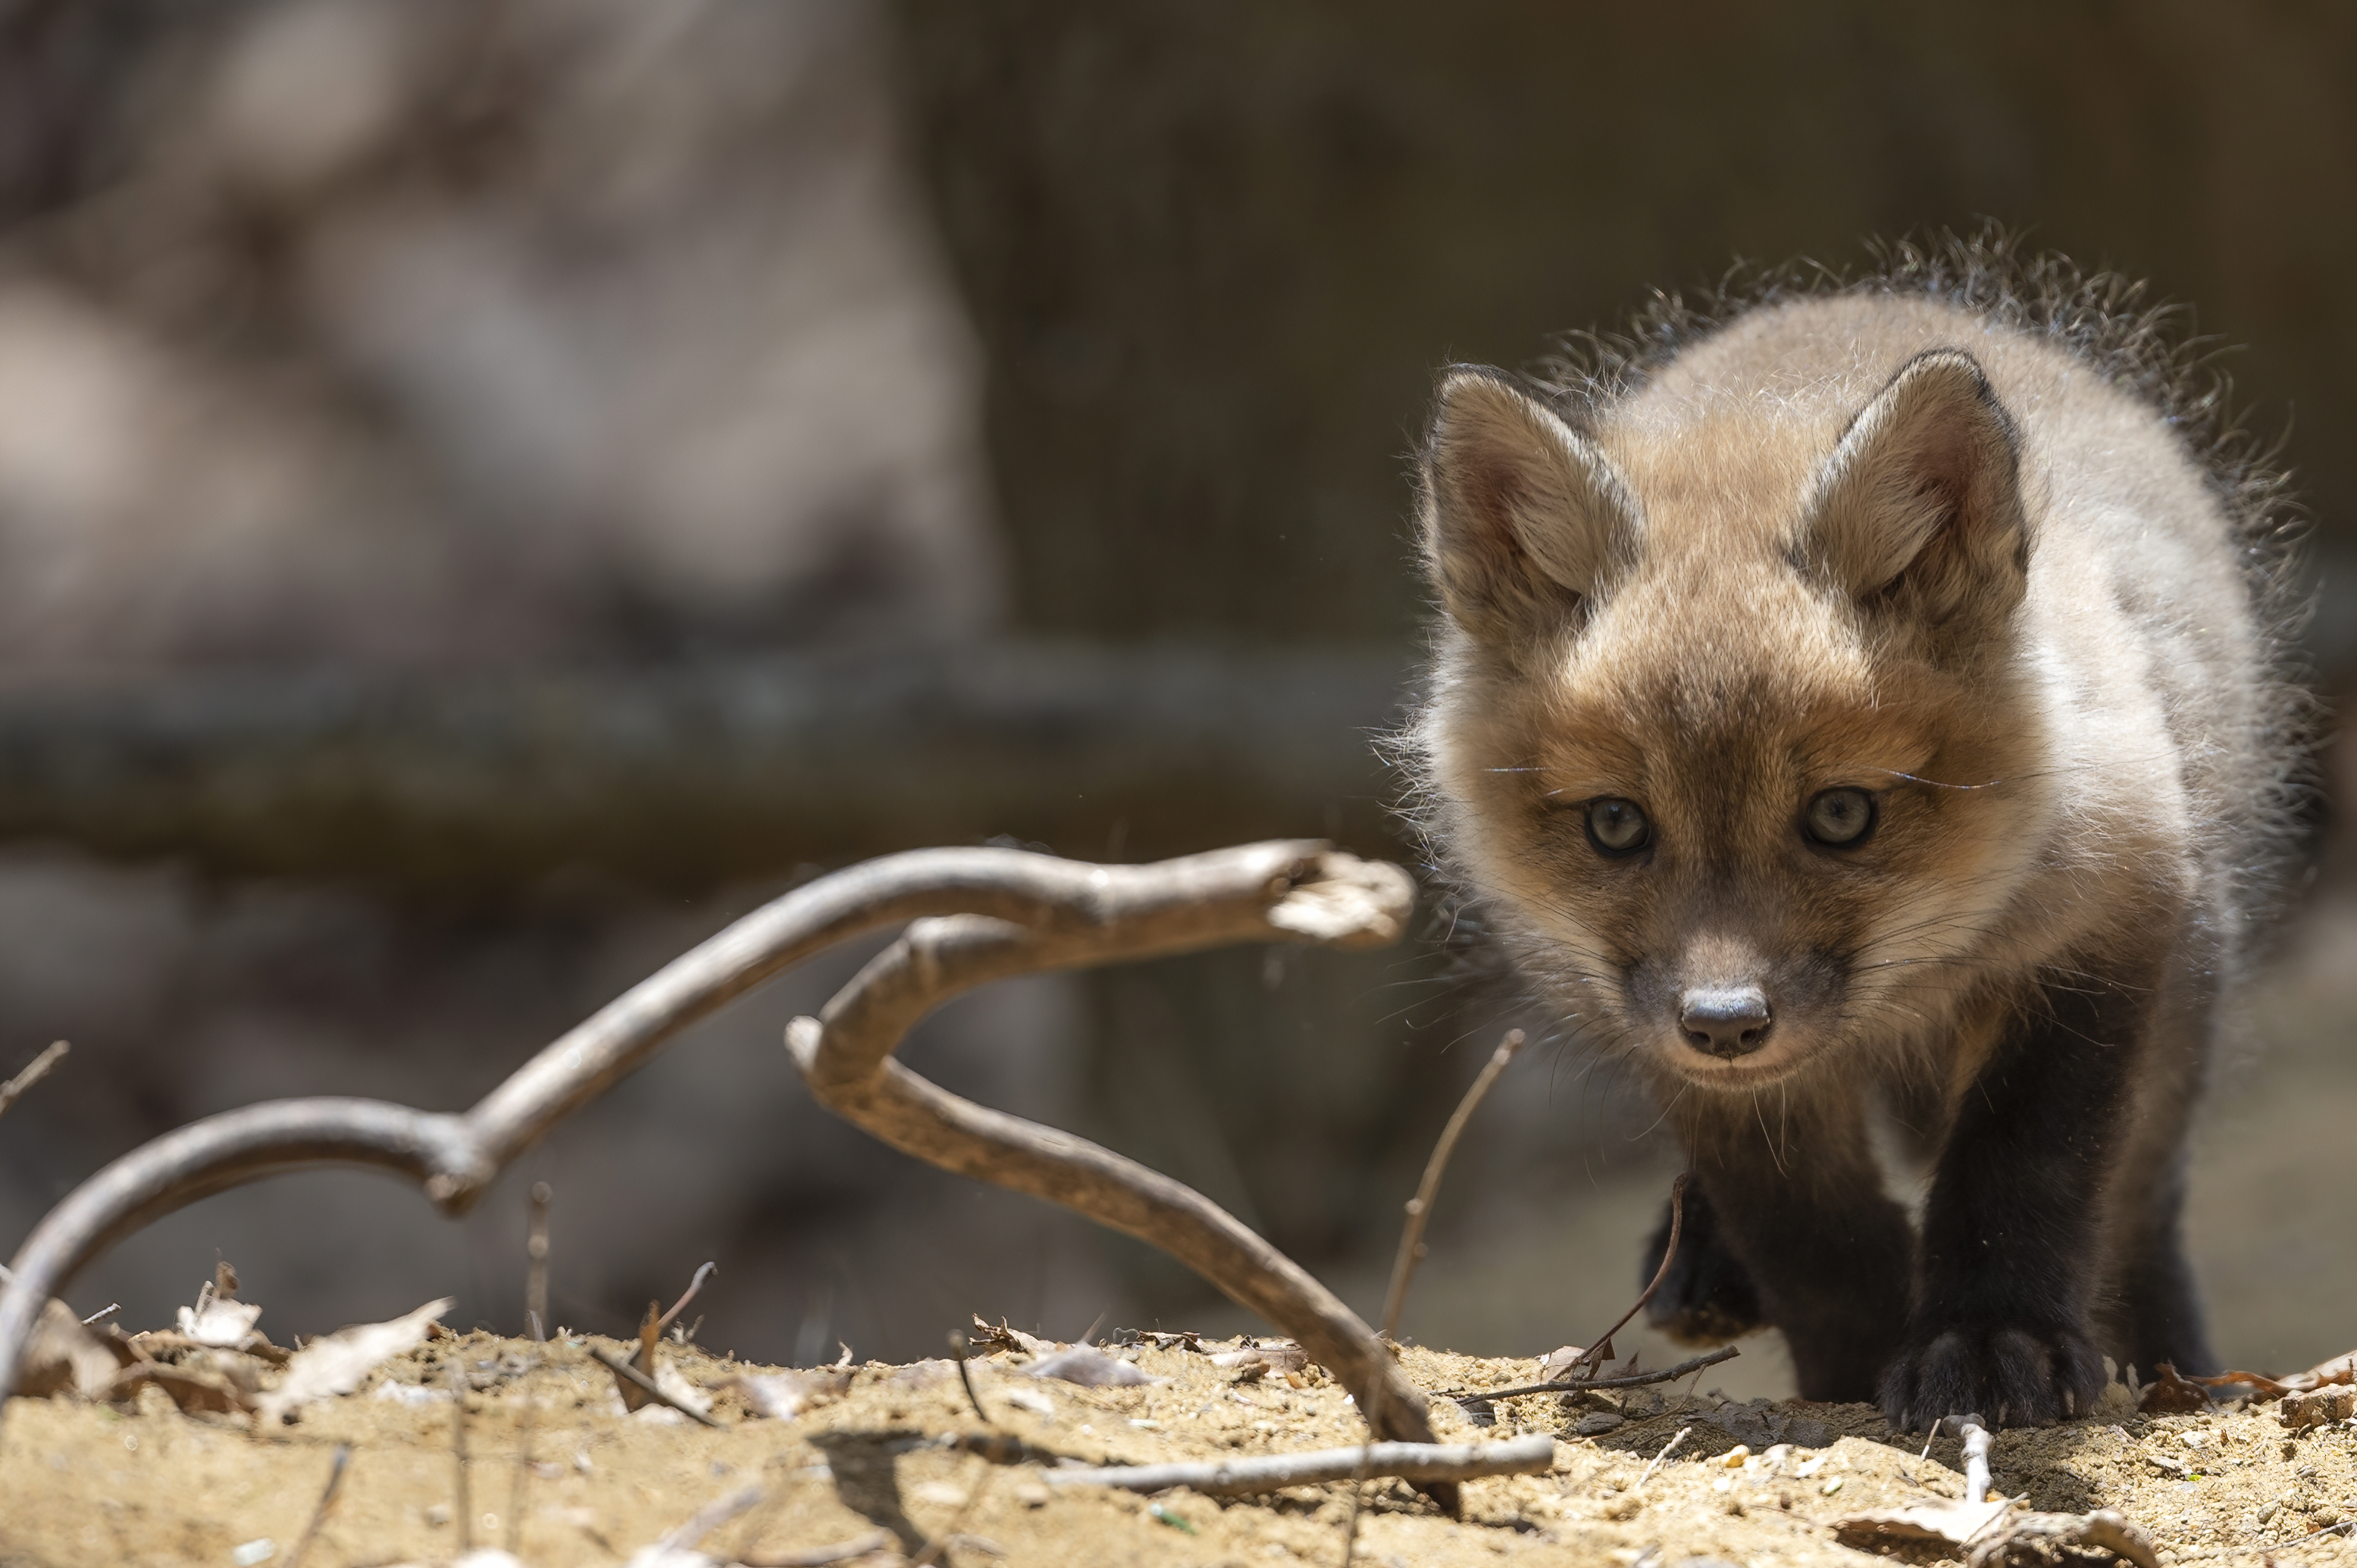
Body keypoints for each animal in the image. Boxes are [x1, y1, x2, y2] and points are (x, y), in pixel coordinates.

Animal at [1402, 235, 2308, 1430]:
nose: (1724, 1022)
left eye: (1840, 814)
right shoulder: (1714, 1074)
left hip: (2180, 1007)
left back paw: (2180, 1369)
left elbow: (2022, 1170)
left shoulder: (2098, 935)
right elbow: (1810, 1229)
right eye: (1614, 824)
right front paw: (1849, 1377)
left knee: (2141, 1207)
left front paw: (1990, 1341)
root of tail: (1865, 291)